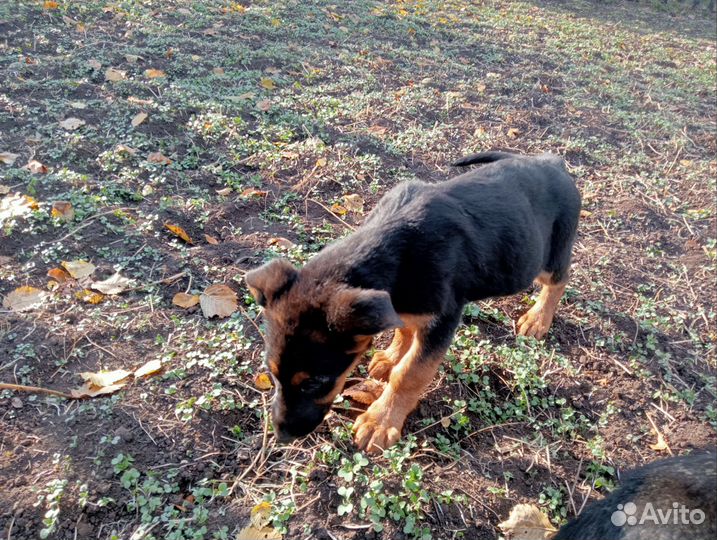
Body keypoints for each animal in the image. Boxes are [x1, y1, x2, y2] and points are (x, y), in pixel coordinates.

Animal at [246, 152, 580, 452]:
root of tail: (552, 161)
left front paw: (381, 421)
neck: (391, 248)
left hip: (547, 258)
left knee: (559, 280)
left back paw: (538, 319)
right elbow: (403, 328)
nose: (282, 436)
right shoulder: (401, 304)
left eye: (315, 382)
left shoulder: (443, 319)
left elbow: (409, 374)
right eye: (271, 374)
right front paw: (391, 356)